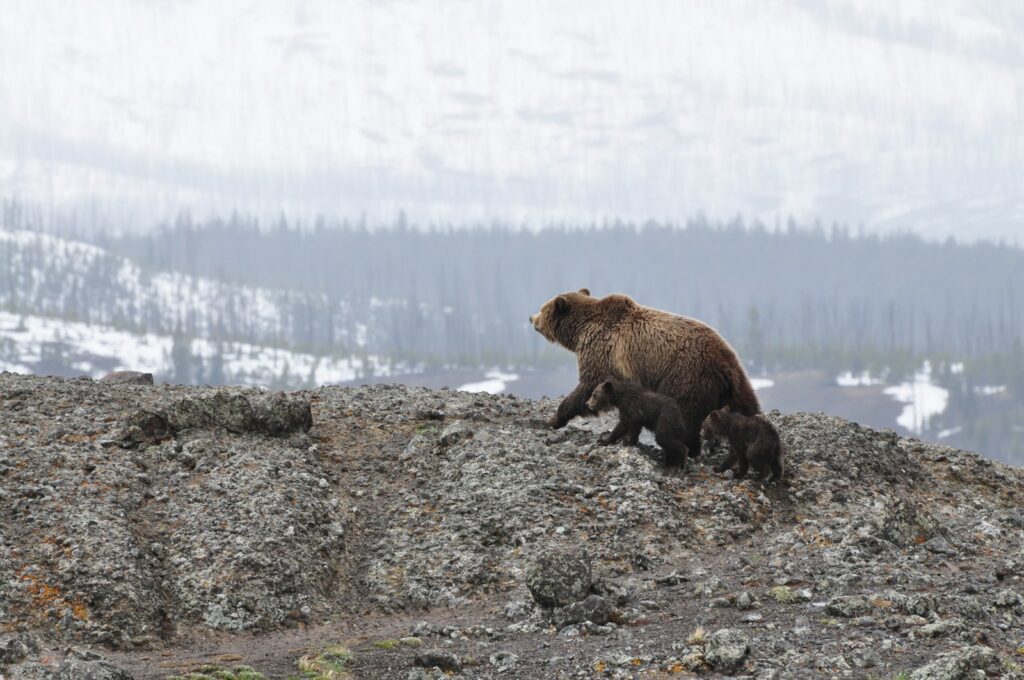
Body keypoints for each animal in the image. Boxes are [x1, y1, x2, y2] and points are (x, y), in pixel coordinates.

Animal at [529, 288, 760, 458]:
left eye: (542, 308)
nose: (531, 317)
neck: (580, 332)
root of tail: (725, 364)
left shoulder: (602, 352)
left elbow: (587, 386)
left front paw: (553, 419)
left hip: (686, 375)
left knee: (683, 415)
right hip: (737, 383)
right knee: (748, 407)